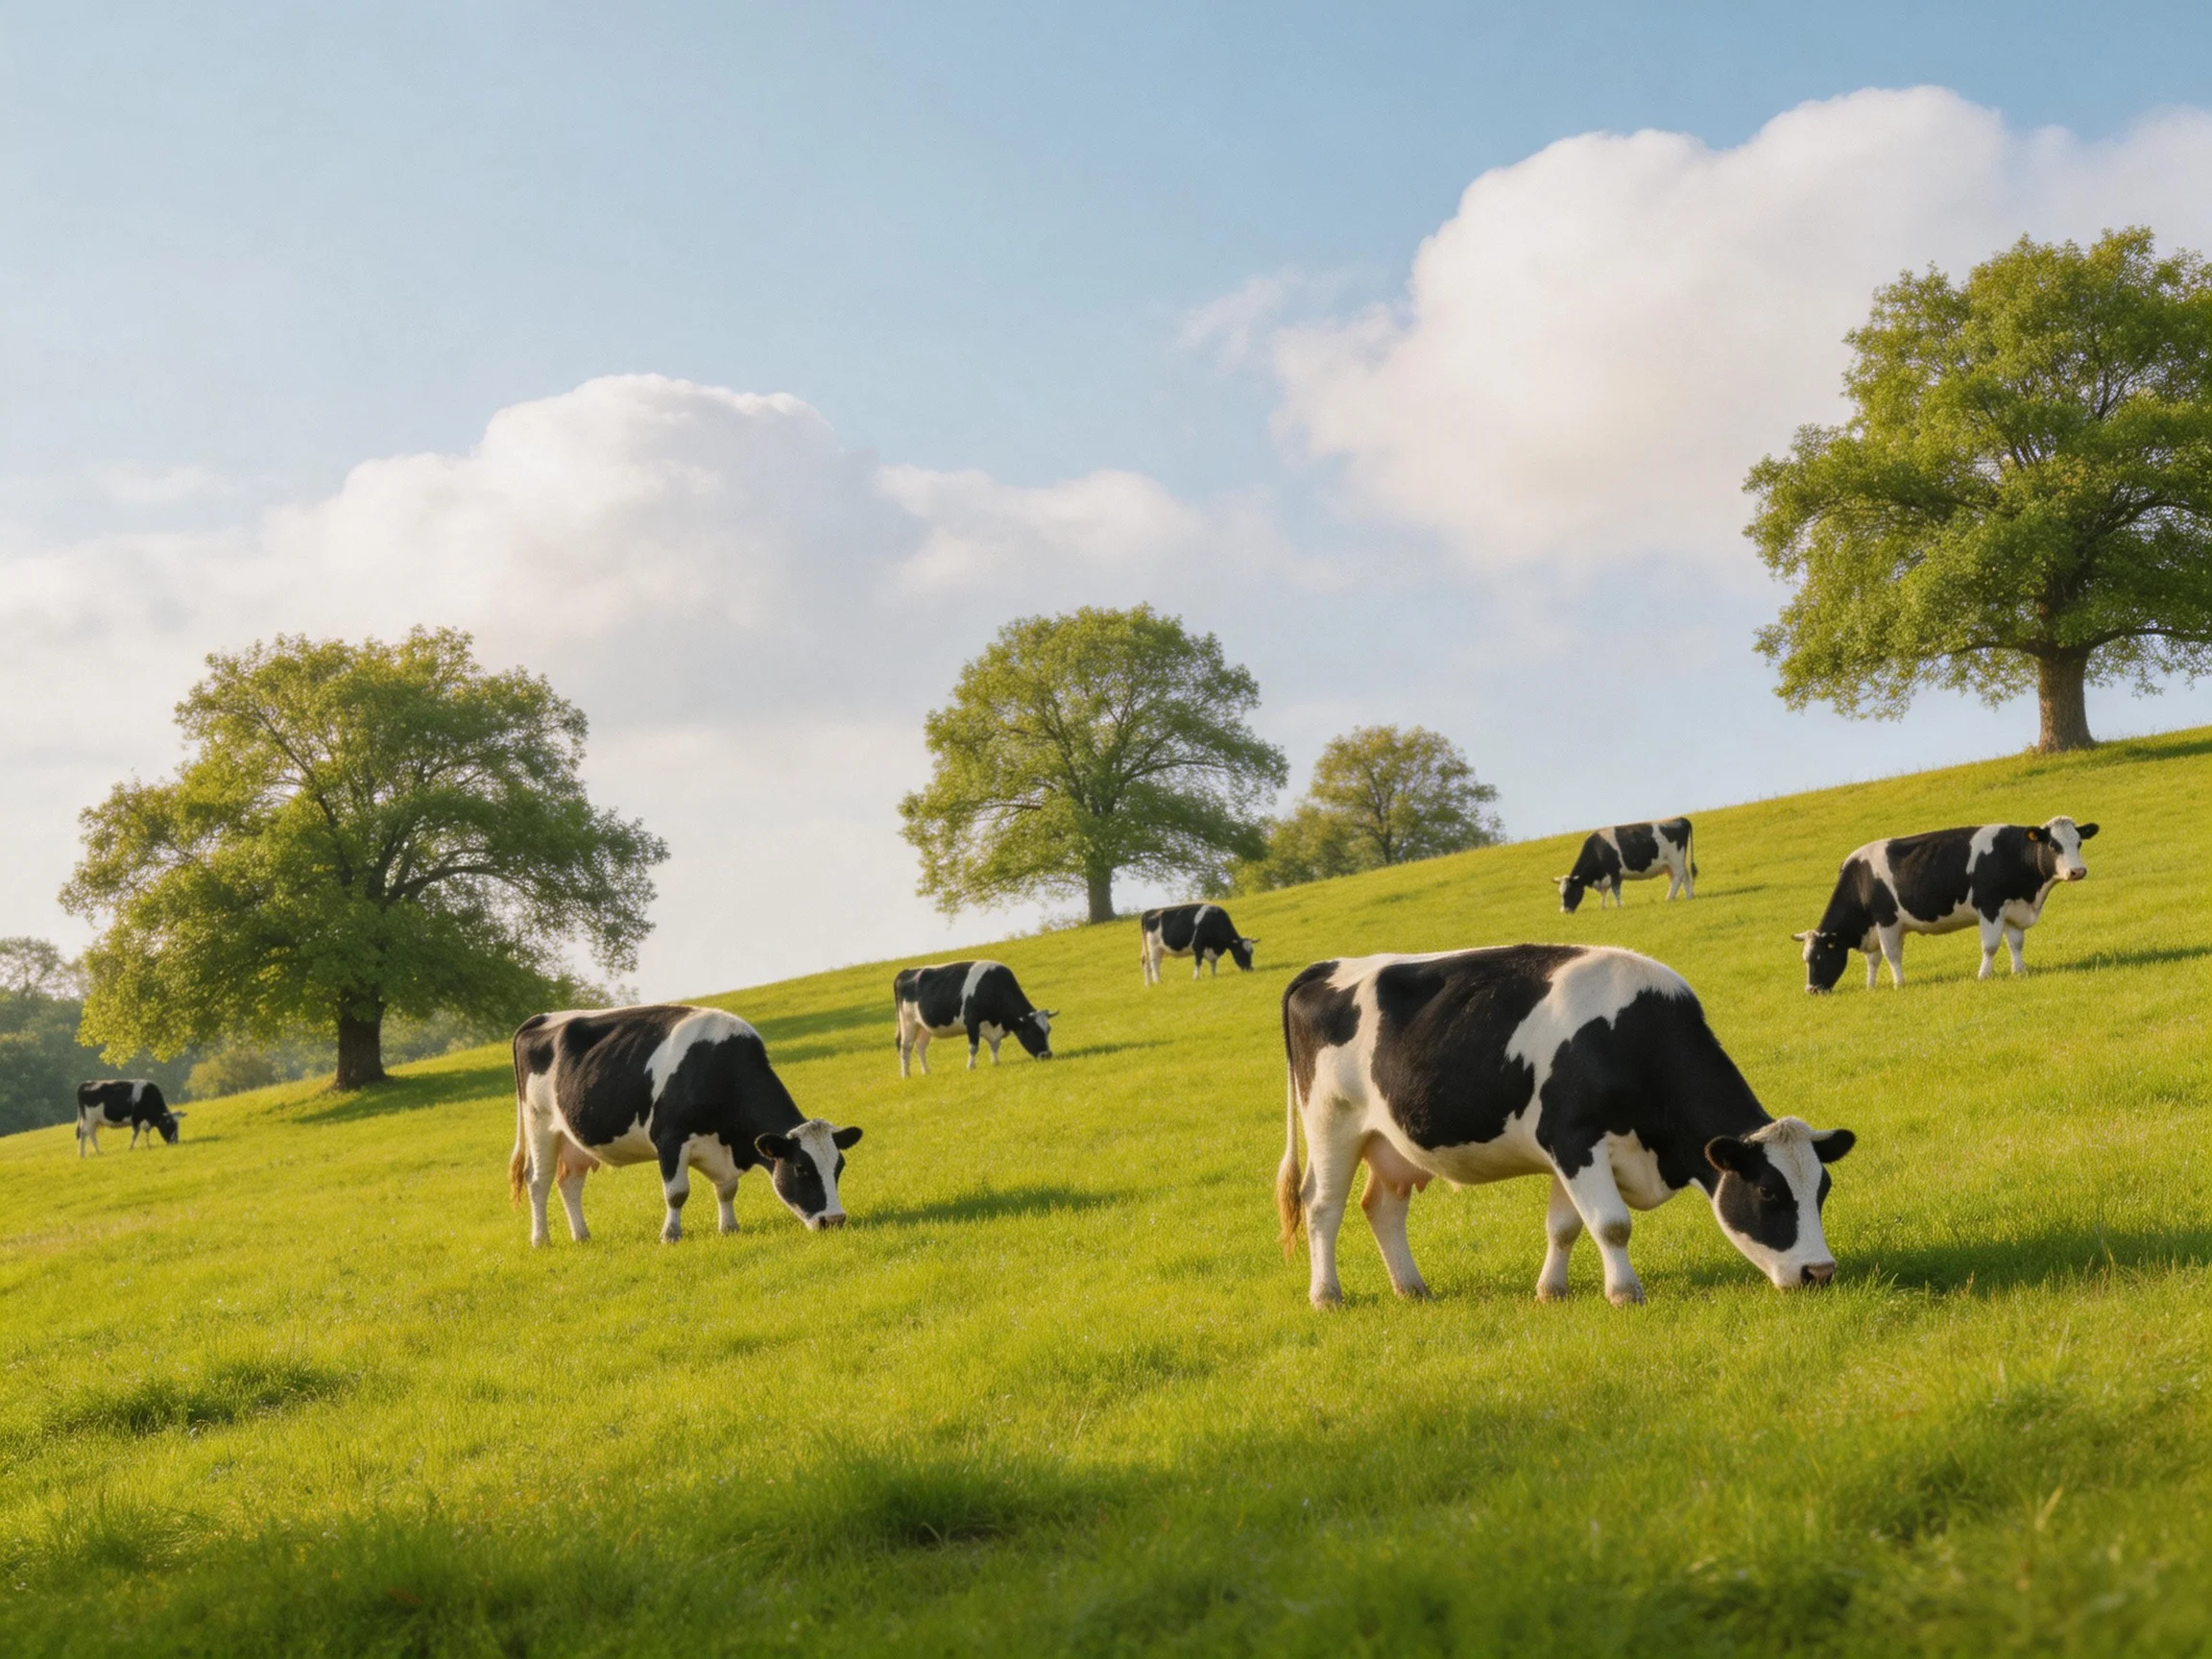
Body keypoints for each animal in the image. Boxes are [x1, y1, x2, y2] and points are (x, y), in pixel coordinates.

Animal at [508, 1004, 862, 1246]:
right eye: (801, 1168)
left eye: (839, 1167)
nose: (834, 1220)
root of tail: (540, 1018)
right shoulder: (670, 1138)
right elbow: (677, 1193)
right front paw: (670, 1235)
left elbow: (727, 1189)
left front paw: (729, 1228)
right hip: (540, 1123)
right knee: (538, 1181)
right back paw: (541, 1240)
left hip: (573, 1139)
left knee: (569, 1183)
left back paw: (582, 1235)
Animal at [894, 961, 1054, 1076]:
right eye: (1034, 1031)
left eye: (1048, 1030)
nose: (1047, 1055)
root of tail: (905, 972)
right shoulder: (971, 1022)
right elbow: (973, 1047)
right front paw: (970, 1067)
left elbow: (995, 1045)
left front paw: (996, 1063)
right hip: (907, 1022)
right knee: (905, 1047)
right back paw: (905, 1075)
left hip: (923, 1026)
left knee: (920, 1047)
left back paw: (926, 1071)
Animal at [1277, 944, 1853, 1308]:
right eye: (1768, 1192)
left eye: (1822, 1189)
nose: (1820, 1273)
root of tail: (1328, 966)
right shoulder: (1575, 1139)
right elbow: (1612, 1224)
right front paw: (1624, 1294)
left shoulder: (1566, 1151)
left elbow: (1566, 1226)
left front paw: (1551, 1292)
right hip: (1331, 1121)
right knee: (1322, 1206)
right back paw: (1326, 1296)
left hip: (1391, 1142)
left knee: (1382, 1207)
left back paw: (1412, 1289)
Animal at [1555, 818, 1696, 911]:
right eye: (1560, 893)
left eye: (1569, 891)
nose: (1564, 911)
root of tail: (1678, 819)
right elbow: (1604, 893)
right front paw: (1603, 907)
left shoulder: (1614, 874)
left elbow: (1615, 891)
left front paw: (1619, 906)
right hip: (1672, 864)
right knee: (1685, 876)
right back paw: (1689, 896)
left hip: (1675, 860)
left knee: (1678, 878)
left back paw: (1669, 898)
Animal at [1794, 817, 2100, 992]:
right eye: (2053, 845)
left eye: (2078, 843)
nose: (1811, 990)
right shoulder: (1884, 922)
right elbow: (1881, 957)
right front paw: (1882, 985)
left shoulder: (2002, 907)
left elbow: (2004, 944)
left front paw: (2004, 973)